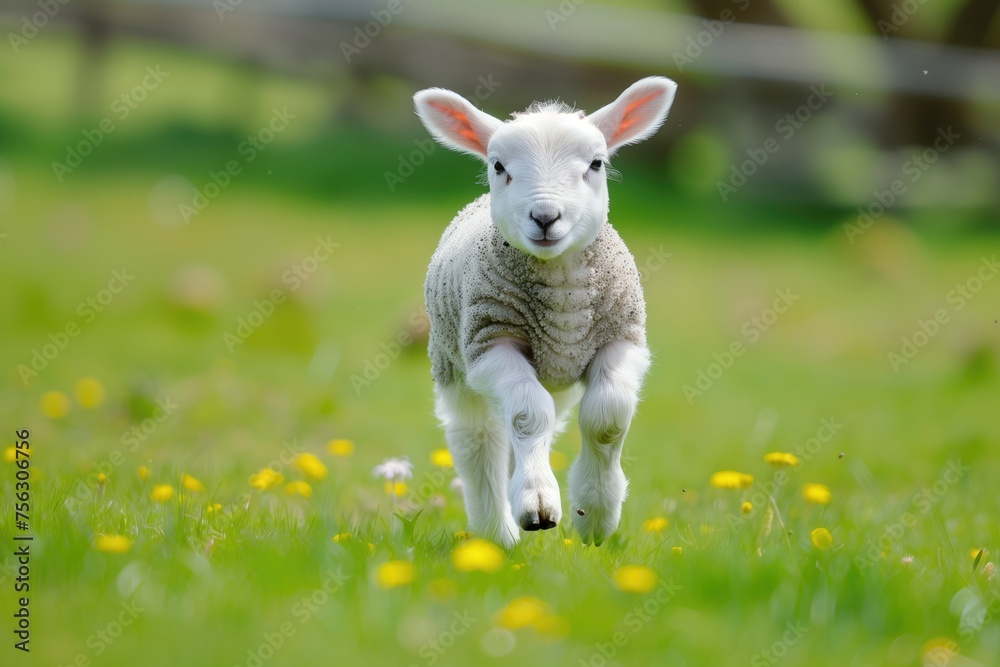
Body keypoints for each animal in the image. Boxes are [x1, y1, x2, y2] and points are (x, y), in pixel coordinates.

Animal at [414, 77, 677, 547]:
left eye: (596, 163)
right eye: (498, 166)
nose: (545, 216)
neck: (563, 293)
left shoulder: (622, 337)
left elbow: (607, 418)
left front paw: (595, 514)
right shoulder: (488, 341)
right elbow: (527, 415)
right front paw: (537, 504)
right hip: (451, 362)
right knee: (479, 440)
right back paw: (496, 534)